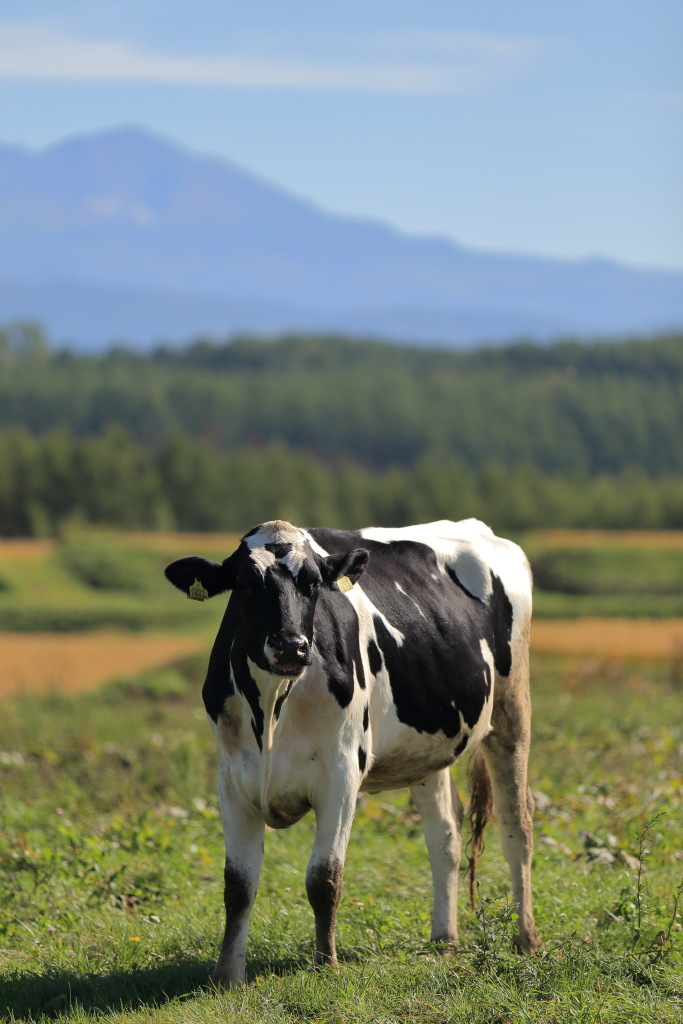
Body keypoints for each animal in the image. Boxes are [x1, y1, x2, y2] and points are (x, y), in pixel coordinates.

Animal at [165, 520, 540, 983]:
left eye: (313, 584)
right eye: (246, 585)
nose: (290, 646)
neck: (271, 709)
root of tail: (475, 527)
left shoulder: (340, 776)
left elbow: (323, 878)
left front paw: (325, 963)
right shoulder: (233, 780)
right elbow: (237, 885)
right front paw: (227, 976)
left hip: (511, 711)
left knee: (517, 827)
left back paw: (525, 938)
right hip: (428, 747)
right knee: (445, 838)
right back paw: (444, 939)